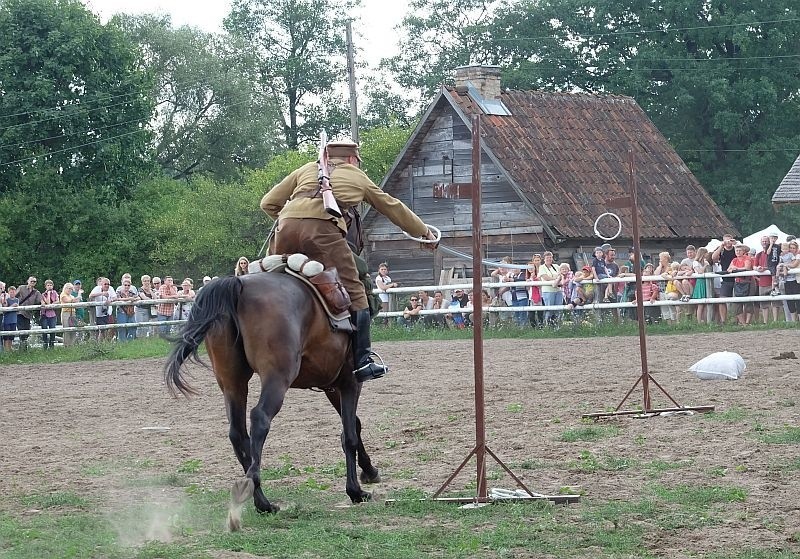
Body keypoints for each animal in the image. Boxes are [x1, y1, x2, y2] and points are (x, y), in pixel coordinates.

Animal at [163, 274, 382, 532]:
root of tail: (238, 284)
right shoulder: (350, 382)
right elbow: (349, 435)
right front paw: (355, 491)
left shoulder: (332, 387)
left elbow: (354, 426)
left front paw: (369, 471)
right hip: (277, 378)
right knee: (260, 418)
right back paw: (256, 494)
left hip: (232, 383)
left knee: (238, 434)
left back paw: (261, 500)